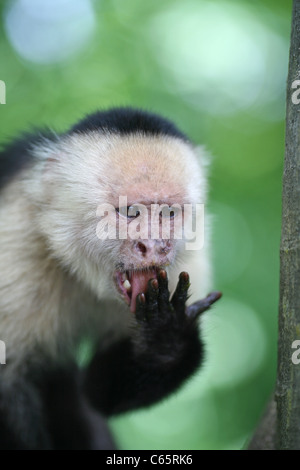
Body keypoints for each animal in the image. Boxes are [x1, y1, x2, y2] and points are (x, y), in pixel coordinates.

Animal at [0, 107, 220, 452]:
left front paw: (165, 334)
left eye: (169, 214)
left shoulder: (190, 261)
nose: (154, 246)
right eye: (130, 212)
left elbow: (99, 394)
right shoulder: (14, 235)